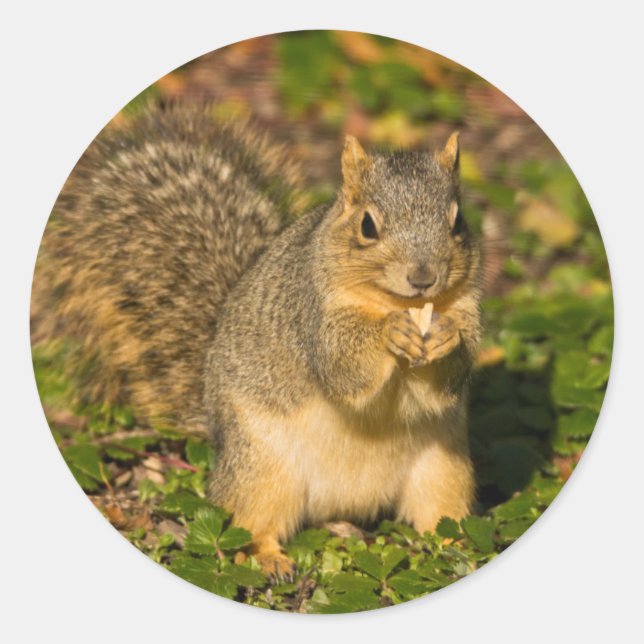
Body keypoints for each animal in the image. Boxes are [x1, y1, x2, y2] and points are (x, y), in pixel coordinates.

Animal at [33, 103, 483, 578]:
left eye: (457, 222)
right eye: (367, 226)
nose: (423, 277)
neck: (396, 302)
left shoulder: (467, 307)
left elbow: (448, 377)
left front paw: (446, 337)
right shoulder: (310, 314)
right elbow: (343, 365)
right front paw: (390, 333)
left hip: (444, 469)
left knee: (440, 515)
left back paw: (458, 544)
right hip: (262, 468)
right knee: (249, 522)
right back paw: (267, 557)